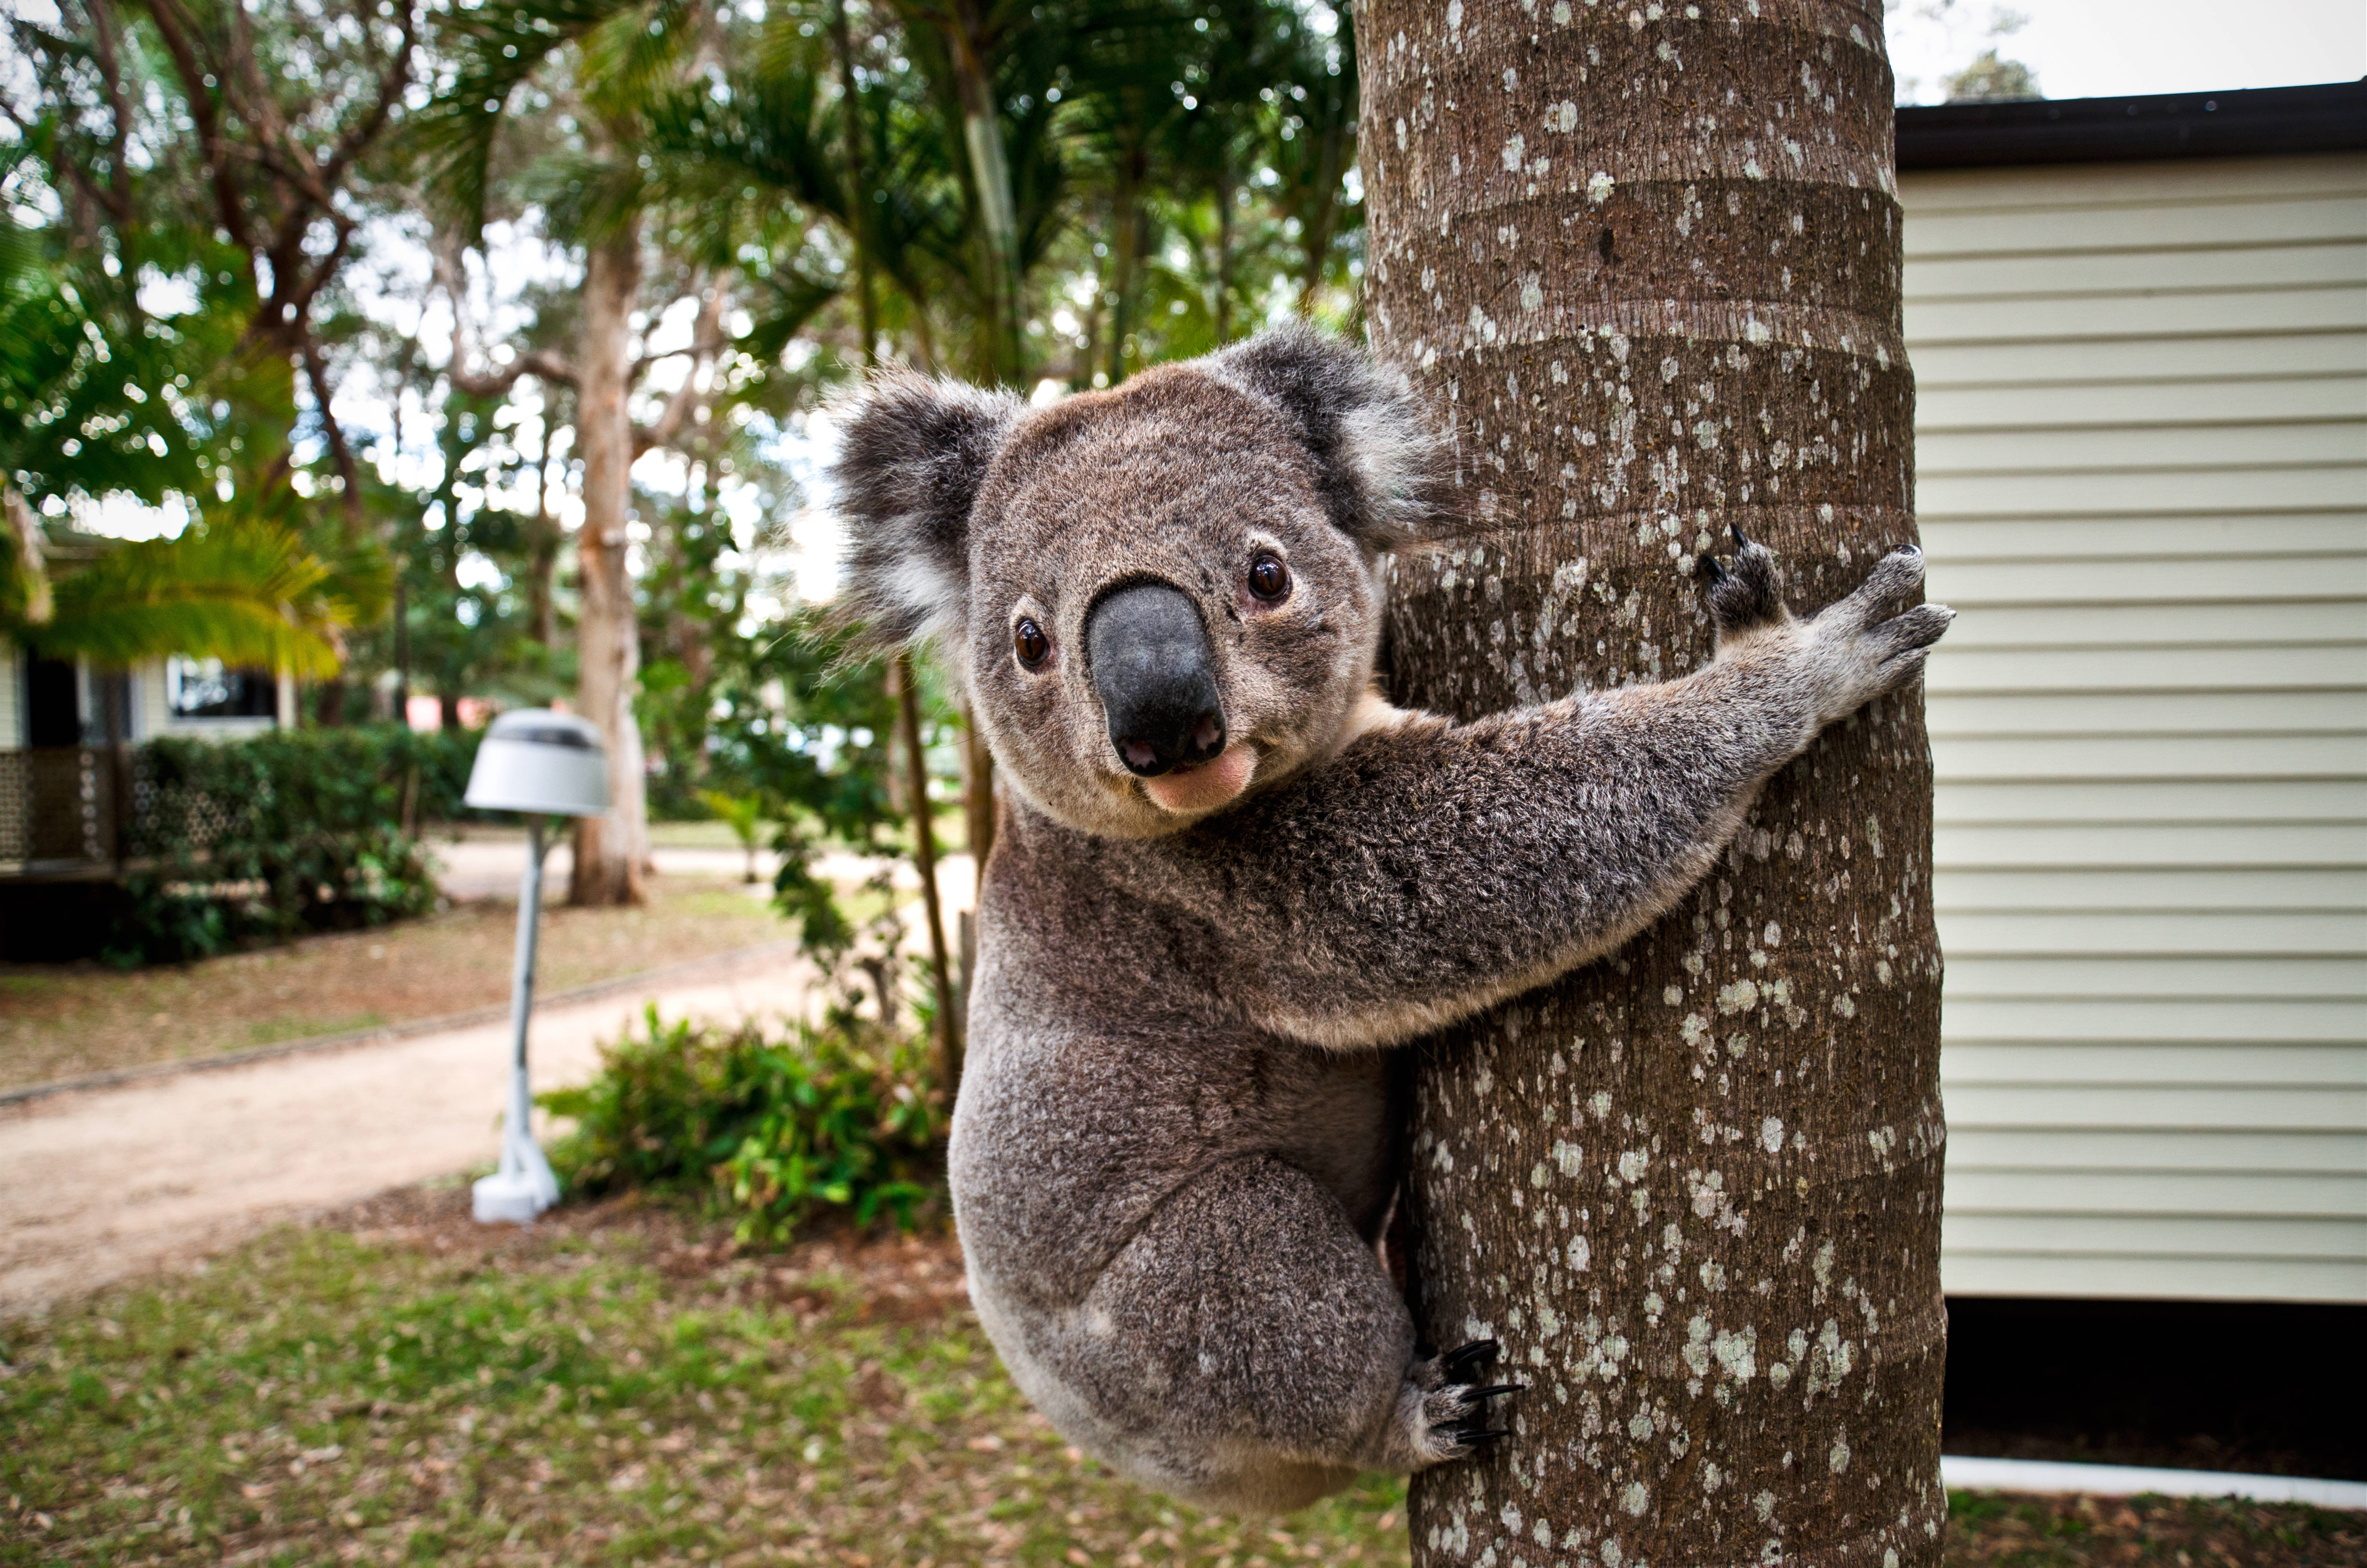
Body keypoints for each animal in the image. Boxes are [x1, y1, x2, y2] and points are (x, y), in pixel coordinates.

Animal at [831, 323, 1953, 1513]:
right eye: (1030, 642)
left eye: (1265, 574)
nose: (1161, 722)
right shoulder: (1218, 895)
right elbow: (1490, 865)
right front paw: (1797, 662)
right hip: (1162, 1333)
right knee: (1263, 1283)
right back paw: (1419, 1410)